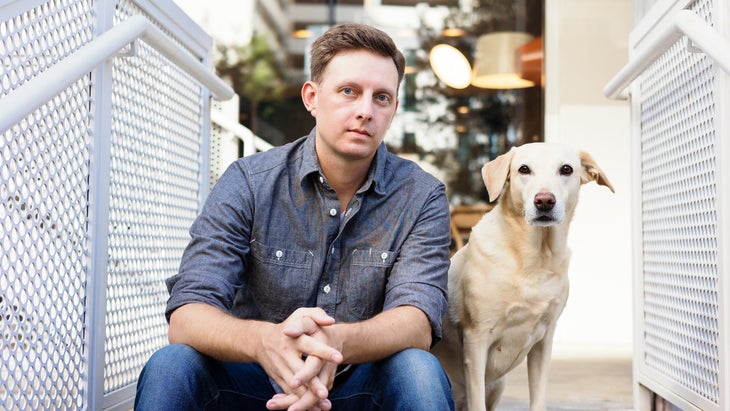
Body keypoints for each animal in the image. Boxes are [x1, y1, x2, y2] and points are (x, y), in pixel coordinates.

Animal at [436, 142, 612, 411]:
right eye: (524, 169)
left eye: (566, 169)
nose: (544, 201)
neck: (534, 259)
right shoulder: (476, 340)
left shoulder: (544, 342)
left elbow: (538, 398)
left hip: (498, 385)